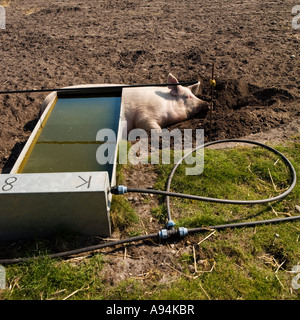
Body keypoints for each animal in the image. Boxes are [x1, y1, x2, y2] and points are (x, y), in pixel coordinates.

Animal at [39, 74, 209, 134]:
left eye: (194, 94)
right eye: (187, 96)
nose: (206, 103)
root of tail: (45, 102)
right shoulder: (145, 115)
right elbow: (152, 126)